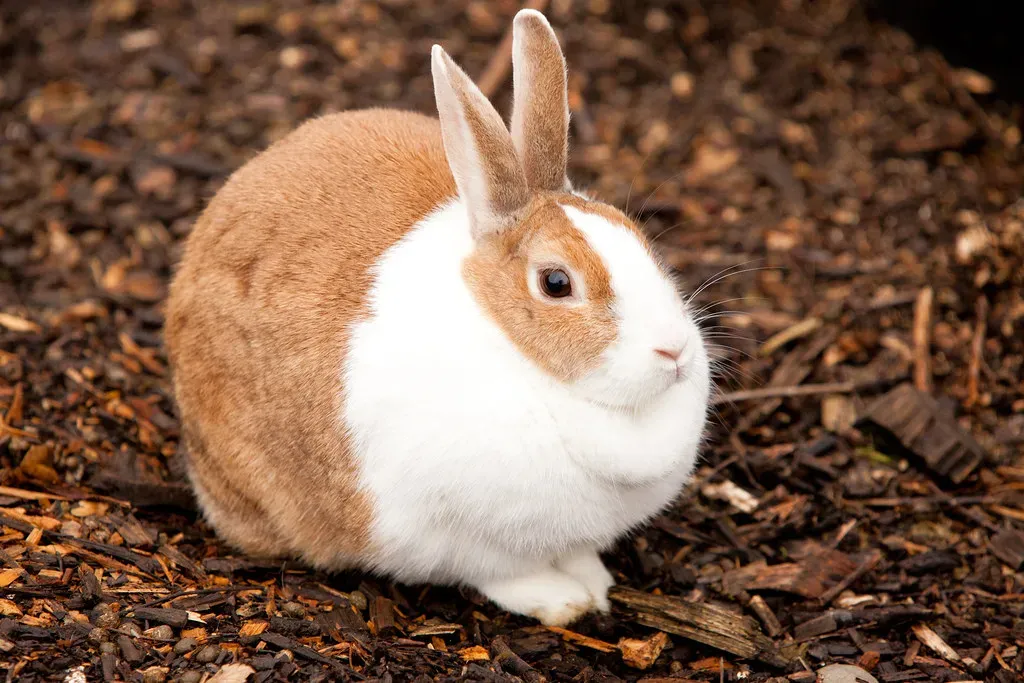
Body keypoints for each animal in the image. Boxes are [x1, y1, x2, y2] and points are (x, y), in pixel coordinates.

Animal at [165, 9, 711, 627]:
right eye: (556, 283)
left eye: (639, 237)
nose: (675, 351)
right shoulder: (462, 539)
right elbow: (504, 575)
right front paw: (566, 602)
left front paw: (595, 582)